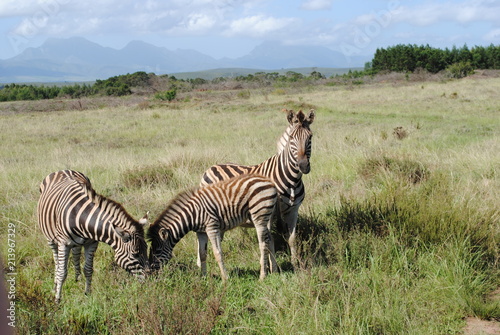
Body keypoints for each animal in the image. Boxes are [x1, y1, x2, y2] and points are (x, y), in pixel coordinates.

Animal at [38, 169, 149, 304]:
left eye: (146, 249)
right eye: (135, 254)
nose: (151, 278)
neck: (81, 218)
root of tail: (63, 170)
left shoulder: (91, 243)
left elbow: (88, 269)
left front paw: (87, 294)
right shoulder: (63, 244)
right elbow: (62, 272)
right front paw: (57, 299)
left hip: (76, 242)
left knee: (76, 252)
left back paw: (78, 278)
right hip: (51, 238)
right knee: (56, 261)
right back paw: (55, 286)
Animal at [150, 173, 280, 280]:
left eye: (157, 250)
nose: (151, 272)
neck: (192, 214)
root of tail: (269, 181)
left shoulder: (211, 227)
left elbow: (217, 252)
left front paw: (225, 278)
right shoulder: (201, 232)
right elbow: (202, 253)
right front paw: (203, 277)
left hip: (259, 216)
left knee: (263, 244)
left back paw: (262, 276)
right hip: (265, 217)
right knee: (270, 239)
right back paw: (274, 271)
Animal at [199, 109, 312, 270]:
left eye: (310, 137)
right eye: (291, 138)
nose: (303, 166)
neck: (292, 181)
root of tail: (210, 168)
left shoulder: (293, 210)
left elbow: (291, 238)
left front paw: (296, 265)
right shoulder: (269, 212)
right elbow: (269, 240)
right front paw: (274, 268)